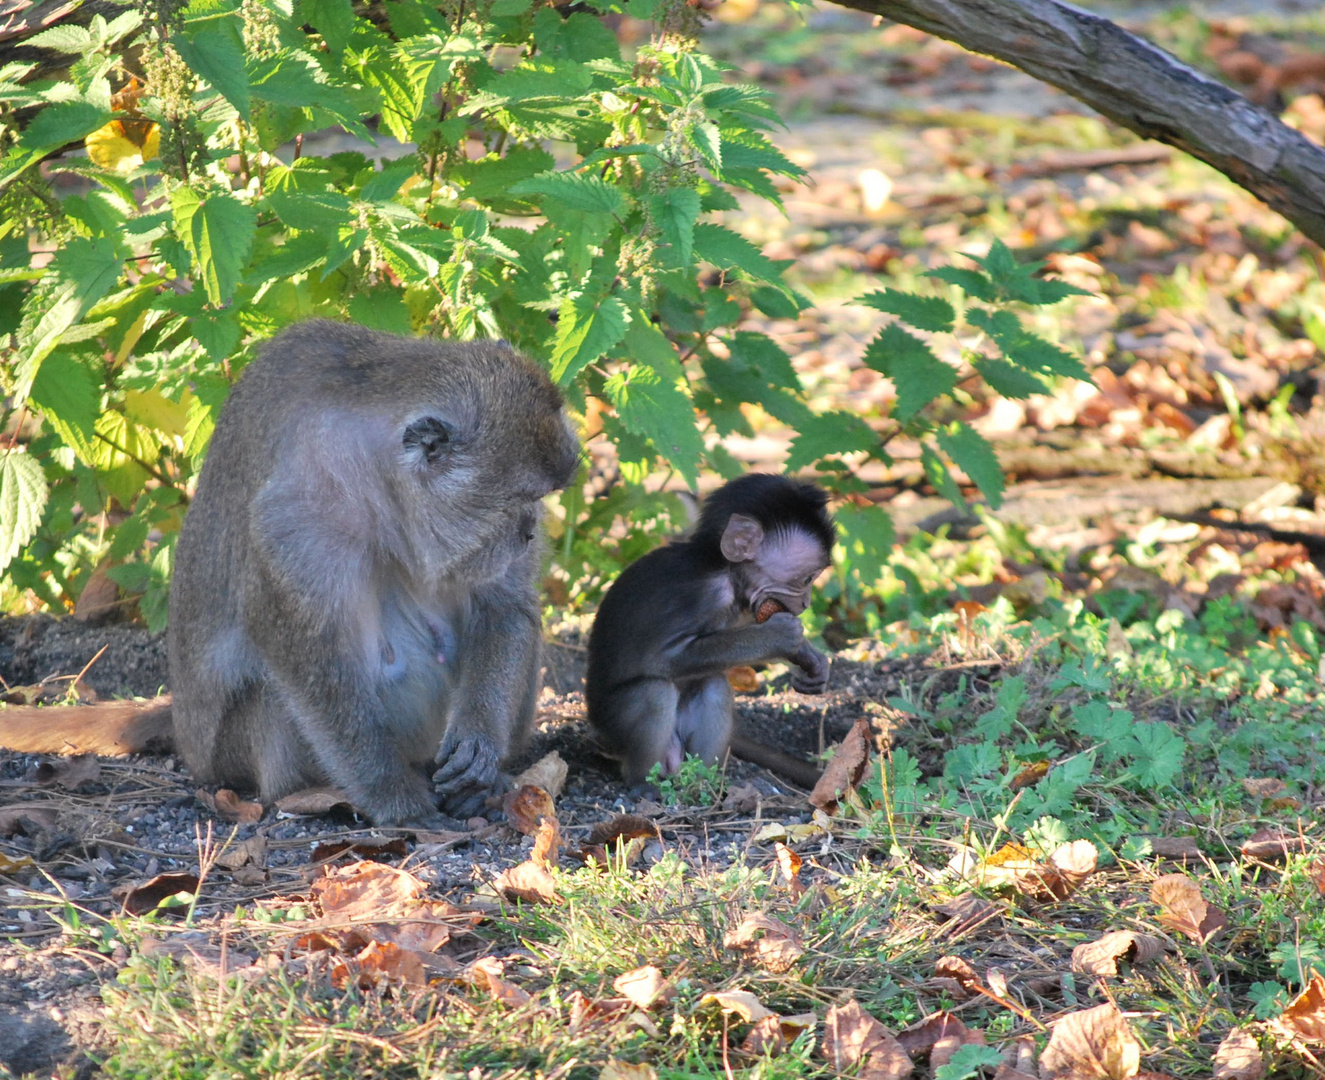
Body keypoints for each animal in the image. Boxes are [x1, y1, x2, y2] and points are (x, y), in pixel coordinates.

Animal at [166, 320, 580, 826]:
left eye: (541, 498)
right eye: (521, 498)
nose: (530, 532)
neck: (376, 489)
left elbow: (505, 607)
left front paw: (478, 740)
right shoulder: (295, 523)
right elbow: (310, 668)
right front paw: (394, 797)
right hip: (234, 753)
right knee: (271, 694)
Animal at [585, 471, 832, 784]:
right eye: (807, 579)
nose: (806, 602)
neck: (725, 571)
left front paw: (810, 657)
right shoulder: (702, 596)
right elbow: (661, 659)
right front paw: (780, 636)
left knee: (713, 684)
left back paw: (703, 780)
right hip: (611, 731)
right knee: (655, 693)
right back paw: (642, 783)